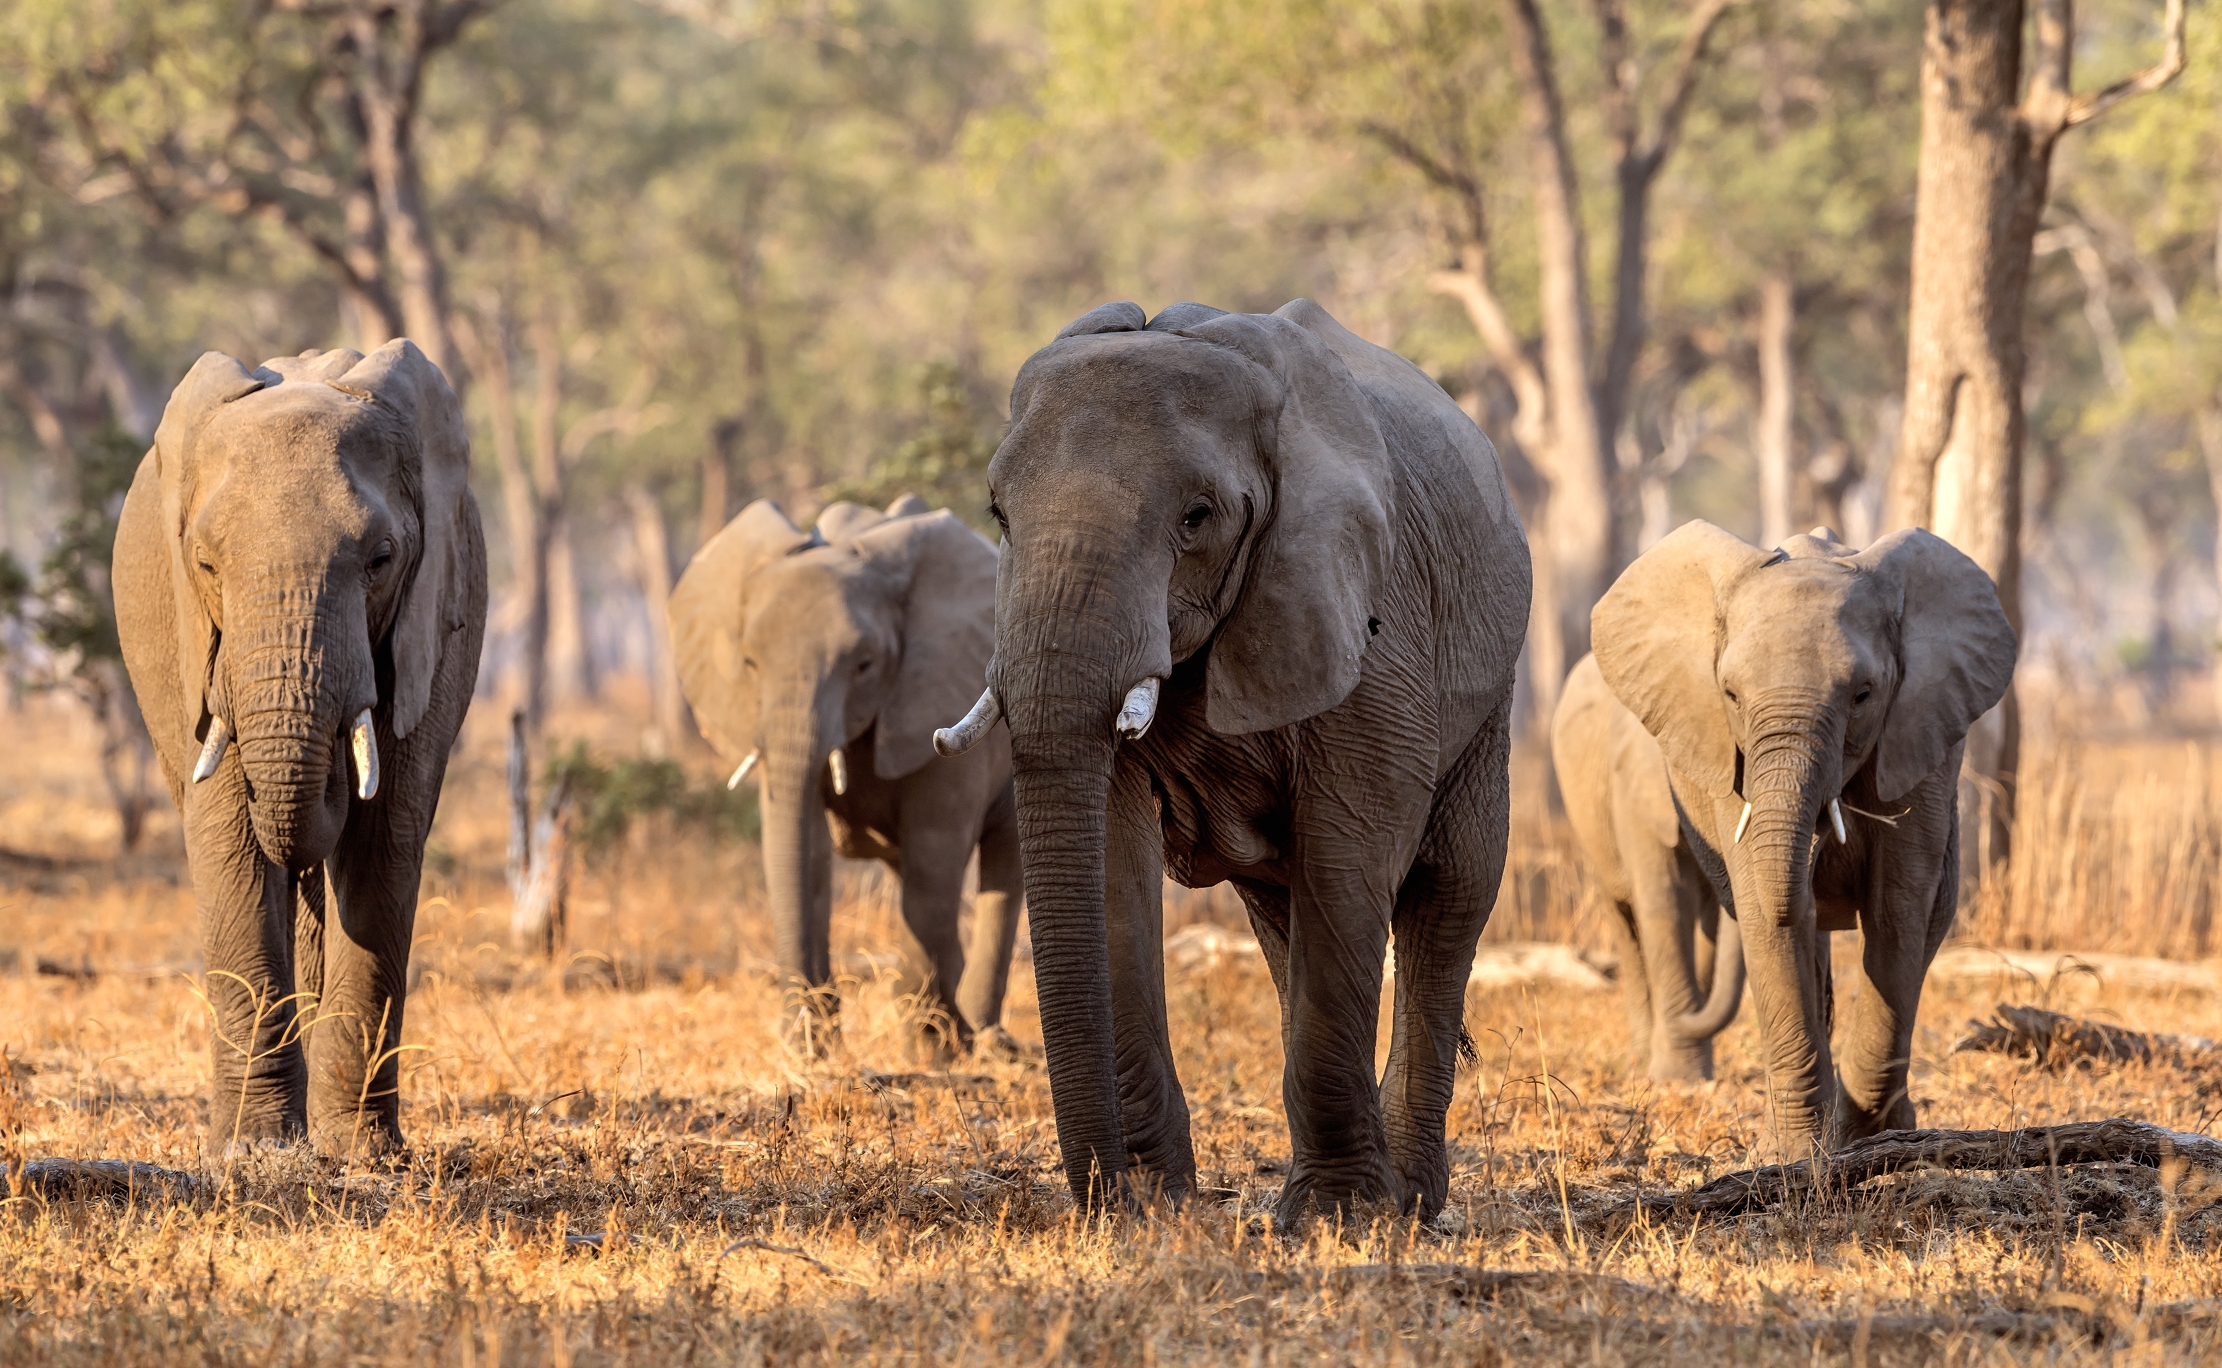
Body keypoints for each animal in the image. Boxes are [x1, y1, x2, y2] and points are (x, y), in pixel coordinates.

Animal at [113, 341, 488, 1158]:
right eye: (205, 563)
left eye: (381, 559)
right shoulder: (199, 652)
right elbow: (228, 838)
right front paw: (254, 1150)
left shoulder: (430, 624)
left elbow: (382, 845)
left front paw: (358, 1153)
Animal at [669, 494, 1023, 1056]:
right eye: (749, 664)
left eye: (864, 664)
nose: (810, 1030)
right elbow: (806, 849)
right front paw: (811, 1044)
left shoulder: (938, 689)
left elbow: (935, 851)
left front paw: (929, 1050)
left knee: (996, 865)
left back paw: (983, 1038)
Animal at [933, 298, 1530, 1222]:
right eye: (995, 512)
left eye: (1198, 517)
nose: (1105, 1200)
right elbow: (1115, 861)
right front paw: (1161, 1207)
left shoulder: (1370, 614)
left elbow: (1354, 851)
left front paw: (1336, 1219)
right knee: (1285, 918)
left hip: (1489, 695)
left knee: (1448, 893)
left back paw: (1409, 1201)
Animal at [1551, 653, 1744, 1082]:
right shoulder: (1634, 784)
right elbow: (1666, 900)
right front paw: (1677, 1078)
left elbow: (1708, 921)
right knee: (1626, 924)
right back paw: (1641, 1060)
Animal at [1590, 521, 2014, 1156]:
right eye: (1731, 695)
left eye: (1863, 694)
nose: (1819, 847)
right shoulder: (1727, 753)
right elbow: (1768, 917)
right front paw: (1792, 1157)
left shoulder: (1920, 742)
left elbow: (1896, 909)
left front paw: (1868, 1136)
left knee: (1926, 921)